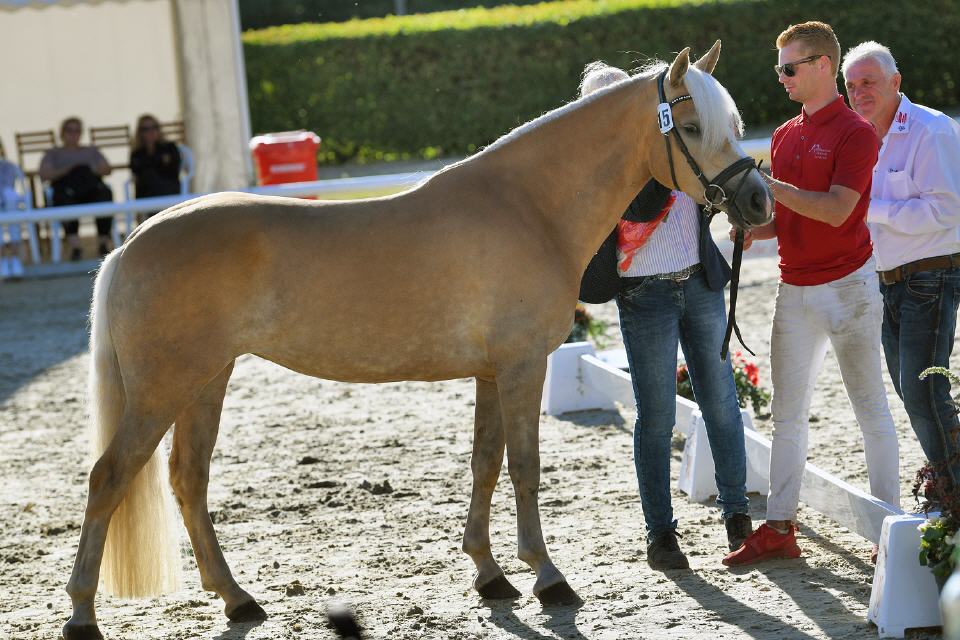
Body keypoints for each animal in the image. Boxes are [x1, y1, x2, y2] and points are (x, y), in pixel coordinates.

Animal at [62, 42, 772, 636]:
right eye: (691, 127)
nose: (759, 202)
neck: (526, 206)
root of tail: (132, 243)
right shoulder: (522, 367)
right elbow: (525, 468)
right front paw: (548, 578)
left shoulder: (491, 372)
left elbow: (485, 464)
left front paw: (490, 575)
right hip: (163, 391)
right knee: (108, 479)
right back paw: (82, 615)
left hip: (206, 382)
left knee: (189, 480)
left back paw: (237, 599)